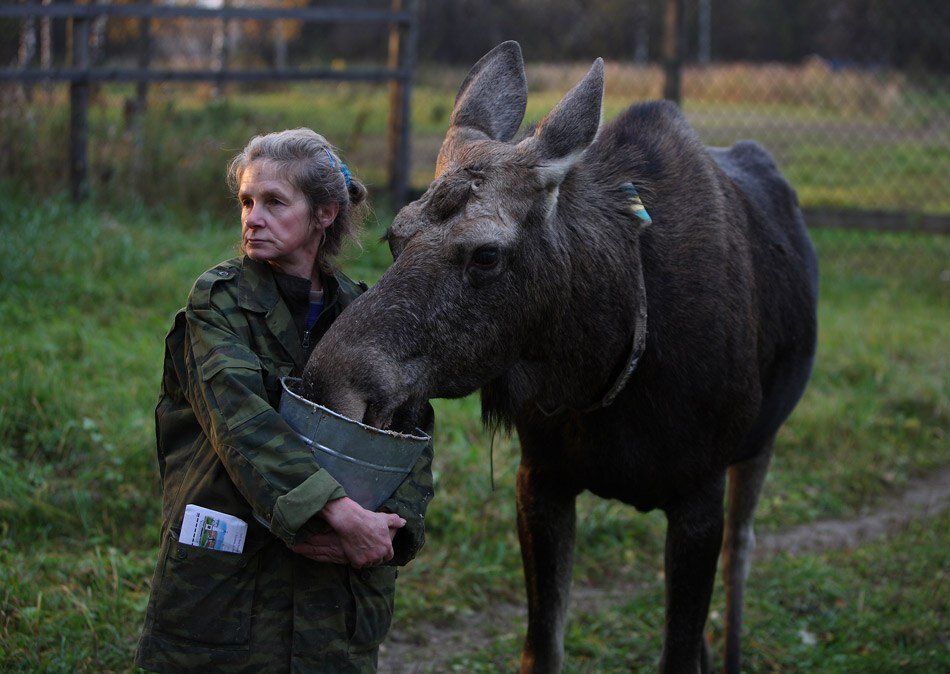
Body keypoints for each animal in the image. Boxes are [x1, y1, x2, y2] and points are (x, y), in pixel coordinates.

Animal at [304, 42, 820, 672]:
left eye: (486, 255)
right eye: (394, 237)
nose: (329, 381)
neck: (607, 365)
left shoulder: (700, 494)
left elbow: (676, 647)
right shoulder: (542, 479)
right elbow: (543, 647)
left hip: (758, 445)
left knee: (741, 553)